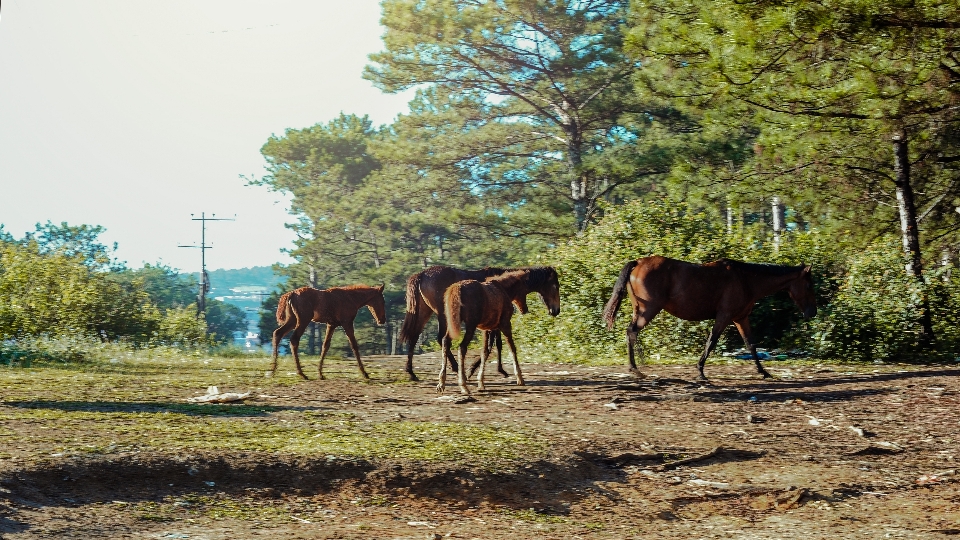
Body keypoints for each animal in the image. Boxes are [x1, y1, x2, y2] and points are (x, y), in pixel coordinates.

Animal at [600, 258, 816, 380]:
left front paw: (763, 372)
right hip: (649, 310)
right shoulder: (724, 317)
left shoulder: (741, 318)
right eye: (808, 285)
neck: (746, 280)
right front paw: (700, 371)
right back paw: (636, 369)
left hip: (640, 310)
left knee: (631, 333)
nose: (812, 312)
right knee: (632, 332)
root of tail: (638, 263)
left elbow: (751, 345)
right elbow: (711, 342)